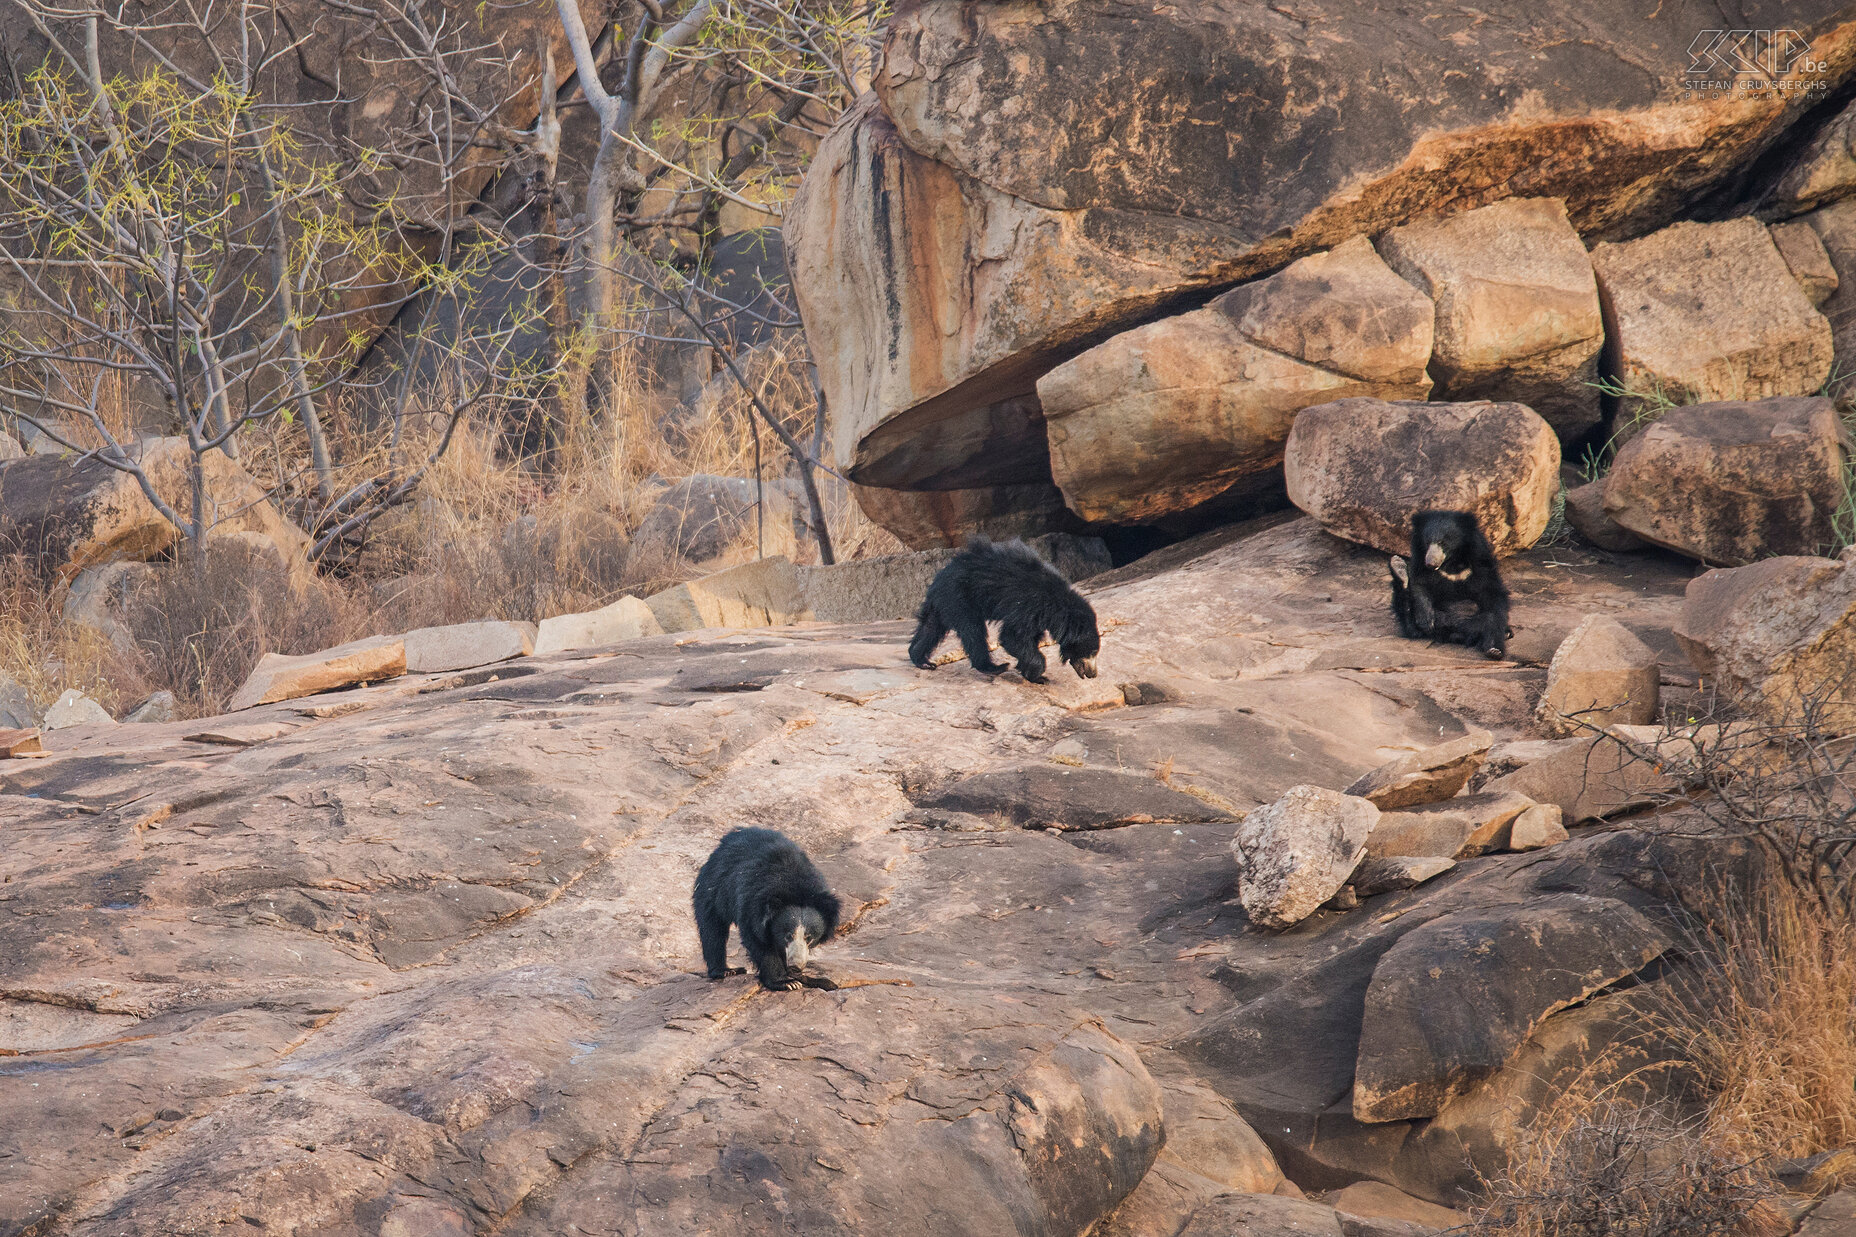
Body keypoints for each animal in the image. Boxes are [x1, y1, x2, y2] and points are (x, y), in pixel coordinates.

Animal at [694, 824, 846, 988]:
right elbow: (759, 941)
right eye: (788, 936)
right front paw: (786, 982)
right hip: (713, 888)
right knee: (712, 929)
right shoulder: (752, 906)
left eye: (809, 937)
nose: (796, 966)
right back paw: (726, 971)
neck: (795, 887)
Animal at [902, 534, 1091, 679]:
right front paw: (1037, 673)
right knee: (973, 631)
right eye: (1090, 653)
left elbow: (1027, 638)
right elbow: (1011, 637)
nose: (1092, 673)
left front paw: (1029, 671)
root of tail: (938, 577)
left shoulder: (1037, 616)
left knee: (931, 626)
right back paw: (993, 667)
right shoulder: (1029, 605)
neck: (1059, 605)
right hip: (961, 597)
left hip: (944, 601)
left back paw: (921, 660)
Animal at [1388, 505, 1514, 661]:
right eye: (1427, 541)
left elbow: (1492, 593)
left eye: (1443, 542)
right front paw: (1425, 619)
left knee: (1489, 620)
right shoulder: (1420, 561)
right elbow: (1419, 584)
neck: (1452, 562)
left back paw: (1494, 649)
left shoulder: (1480, 561)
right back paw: (1398, 568)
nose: (1430, 563)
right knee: (1409, 618)